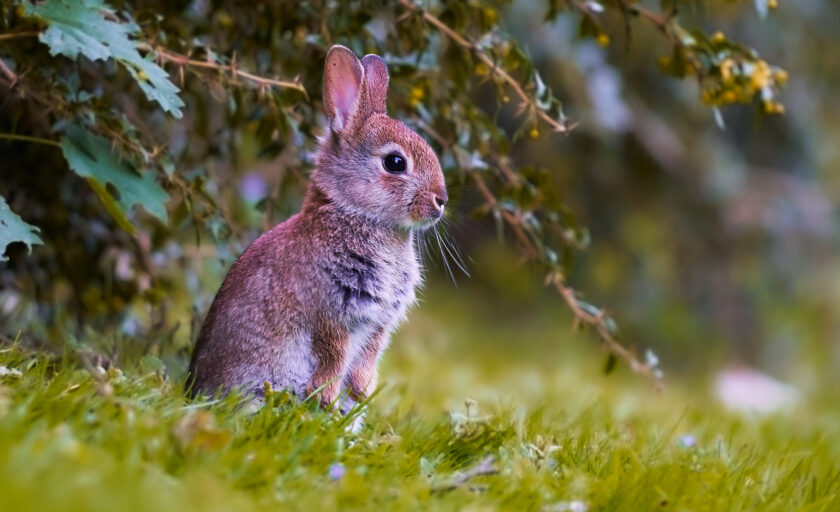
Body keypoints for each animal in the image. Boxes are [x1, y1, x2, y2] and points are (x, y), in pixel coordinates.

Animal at [189, 43, 450, 412]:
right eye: (395, 163)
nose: (442, 200)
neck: (357, 214)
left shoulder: (377, 326)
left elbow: (366, 359)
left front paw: (361, 391)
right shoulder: (330, 315)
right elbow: (333, 356)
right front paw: (327, 395)